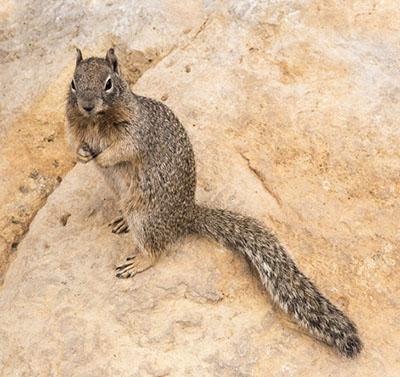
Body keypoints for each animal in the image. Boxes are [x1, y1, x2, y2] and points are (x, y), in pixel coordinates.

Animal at [66, 48, 362, 356]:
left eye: (108, 83)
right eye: (73, 83)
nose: (87, 105)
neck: (94, 121)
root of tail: (187, 214)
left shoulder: (136, 133)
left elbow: (122, 150)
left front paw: (102, 158)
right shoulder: (76, 129)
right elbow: (73, 143)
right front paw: (82, 155)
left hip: (145, 218)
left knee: (156, 249)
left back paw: (137, 261)